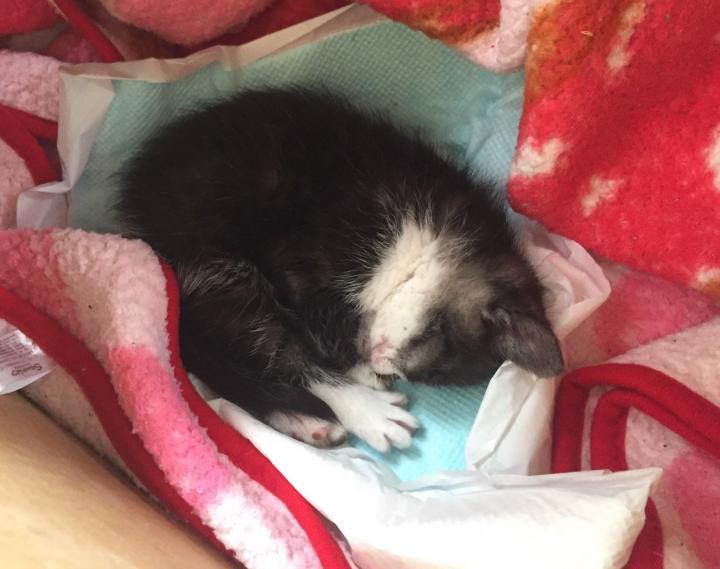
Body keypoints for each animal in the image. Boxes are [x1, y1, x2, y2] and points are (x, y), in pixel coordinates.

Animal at [115, 87, 564, 452]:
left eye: (433, 377)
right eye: (438, 339)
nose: (384, 363)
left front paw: (364, 366)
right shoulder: (311, 245)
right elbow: (318, 327)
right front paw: (360, 371)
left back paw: (309, 424)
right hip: (213, 265)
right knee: (275, 350)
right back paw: (368, 413)